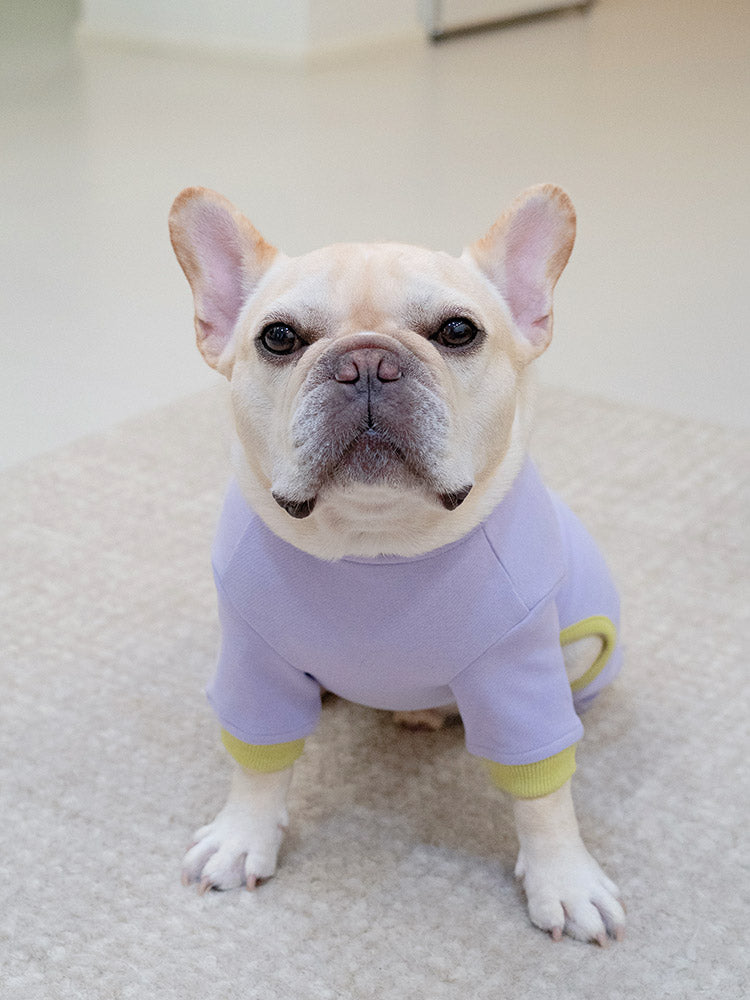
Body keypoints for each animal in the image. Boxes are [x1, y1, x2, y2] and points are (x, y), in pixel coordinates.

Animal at [169, 184, 625, 944]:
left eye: (458, 331)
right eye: (279, 338)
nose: (365, 363)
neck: (375, 541)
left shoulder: (523, 680)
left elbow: (543, 791)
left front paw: (564, 879)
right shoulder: (255, 667)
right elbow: (258, 763)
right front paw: (243, 837)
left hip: (580, 651)